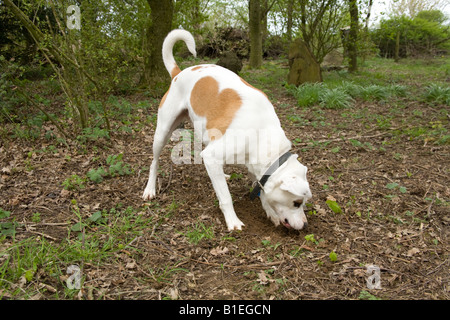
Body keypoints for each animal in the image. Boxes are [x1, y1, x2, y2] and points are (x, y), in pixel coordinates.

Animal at [142, 29, 312, 230]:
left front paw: (269, 211)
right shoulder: (213, 156)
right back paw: (150, 188)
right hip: (162, 132)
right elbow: (225, 197)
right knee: (154, 162)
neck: (261, 132)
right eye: (297, 203)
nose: (305, 225)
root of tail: (179, 73)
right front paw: (233, 221)